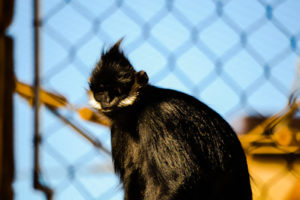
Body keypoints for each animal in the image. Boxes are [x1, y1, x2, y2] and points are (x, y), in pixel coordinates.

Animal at [88, 39, 252, 200]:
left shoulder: (159, 117)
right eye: (101, 92)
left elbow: (183, 179)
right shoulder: (117, 129)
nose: (108, 100)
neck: (137, 112)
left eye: (117, 91)